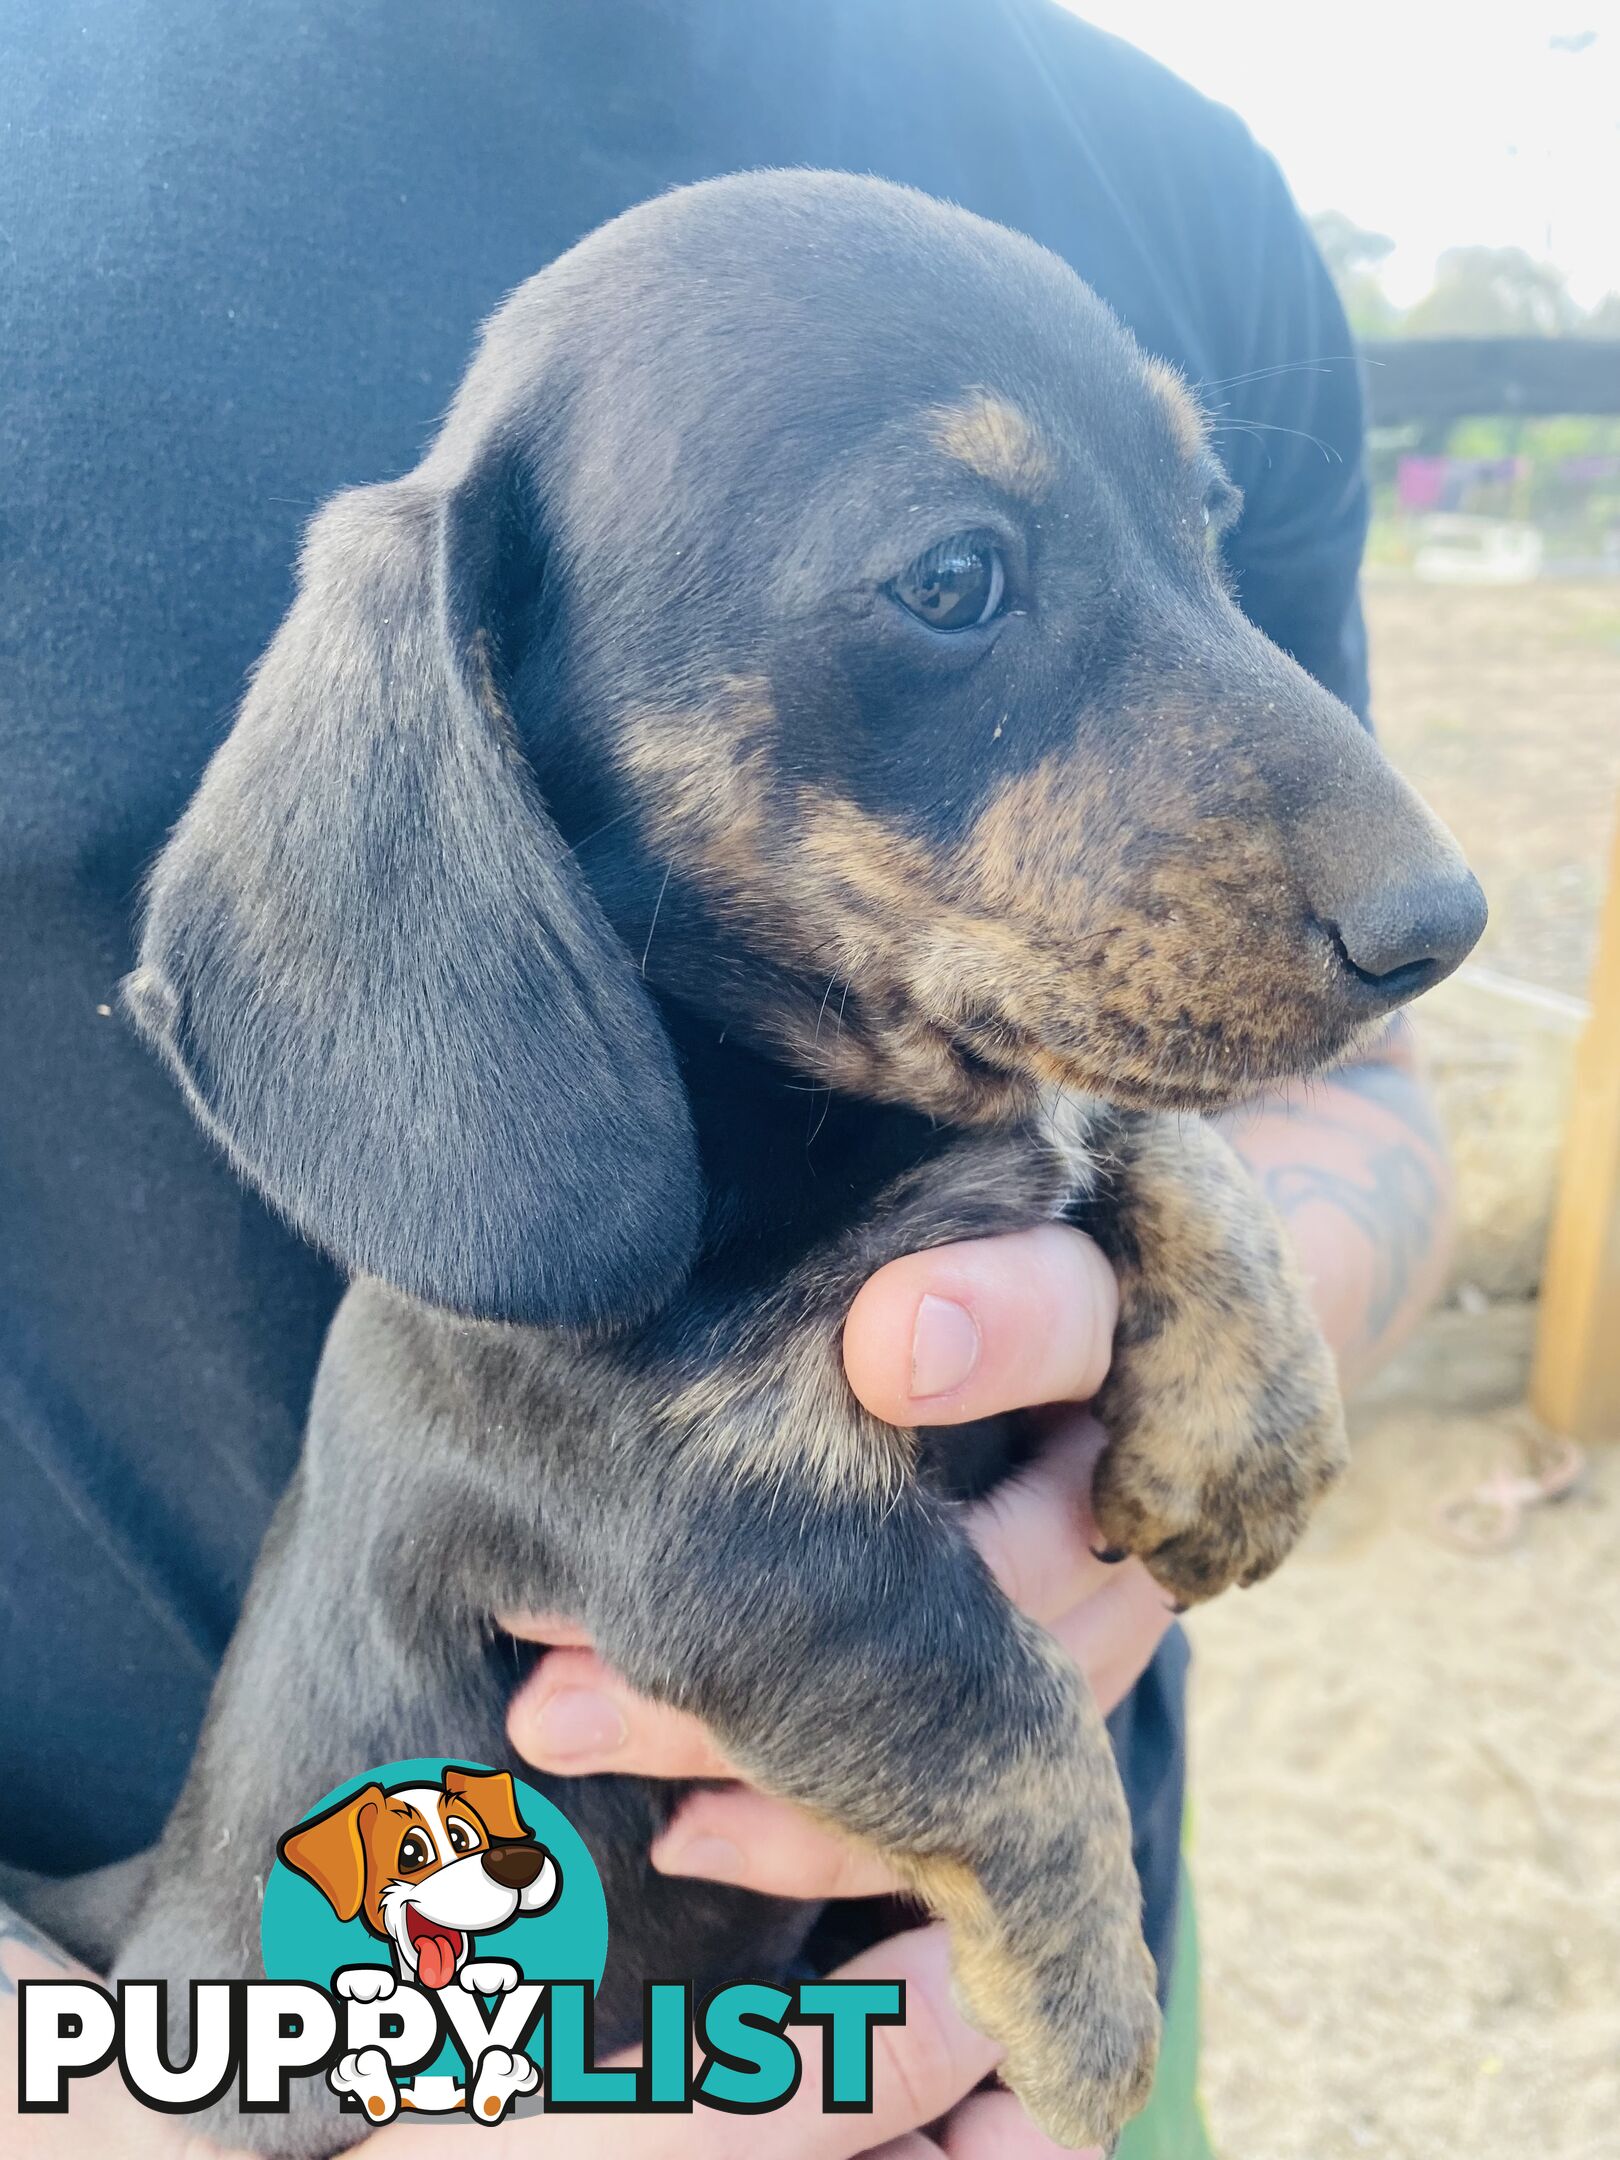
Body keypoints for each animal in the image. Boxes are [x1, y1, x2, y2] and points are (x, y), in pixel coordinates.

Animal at [108, 164, 1494, 2142]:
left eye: (1209, 520)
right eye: (952, 578)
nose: (1443, 927)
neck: (837, 1119)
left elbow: (1150, 1140)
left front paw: (1248, 1444)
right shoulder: (721, 1542)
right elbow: (994, 1700)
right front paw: (1090, 2016)